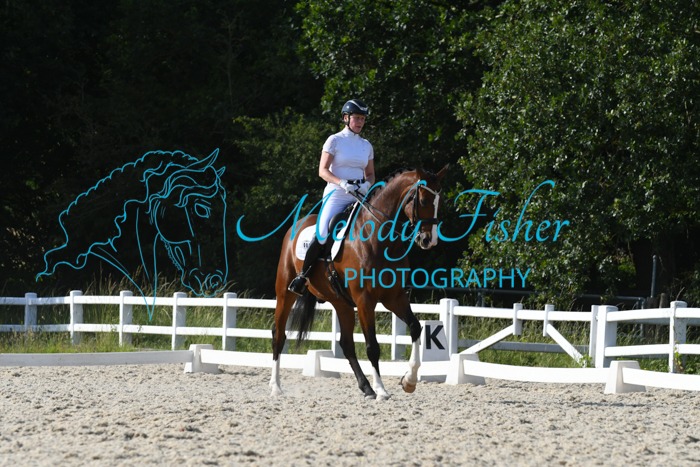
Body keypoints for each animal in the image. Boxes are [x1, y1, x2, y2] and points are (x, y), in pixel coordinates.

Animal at [270, 166, 447, 399]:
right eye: (424, 200)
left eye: (439, 202)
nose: (429, 240)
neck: (379, 239)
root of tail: (297, 225)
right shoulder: (365, 300)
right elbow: (372, 346)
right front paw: (382, 390)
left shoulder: (395, 298)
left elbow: (416, 328)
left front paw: (409, 381)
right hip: (286, 292)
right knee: (278, 335)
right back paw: (276, 387)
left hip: (341, 303)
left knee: (346, 344)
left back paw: (366, 387)